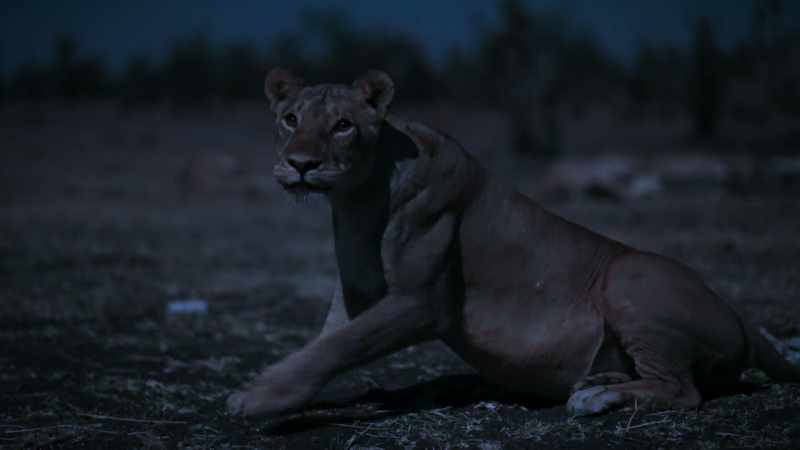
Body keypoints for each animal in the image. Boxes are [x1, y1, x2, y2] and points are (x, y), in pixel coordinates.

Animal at [226, 68, 800, 418]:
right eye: (290, 120)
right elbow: (323, 345)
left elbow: (338, 346)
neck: (357, 198)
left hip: (629, 276)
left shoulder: (421, 301)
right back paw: (596, 382)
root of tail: (739, 313)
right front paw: (283, 393)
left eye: (343, 125)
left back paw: (597, 398)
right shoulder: (357, 293)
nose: (301, 164)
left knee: (684, 391)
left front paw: (258, 396)